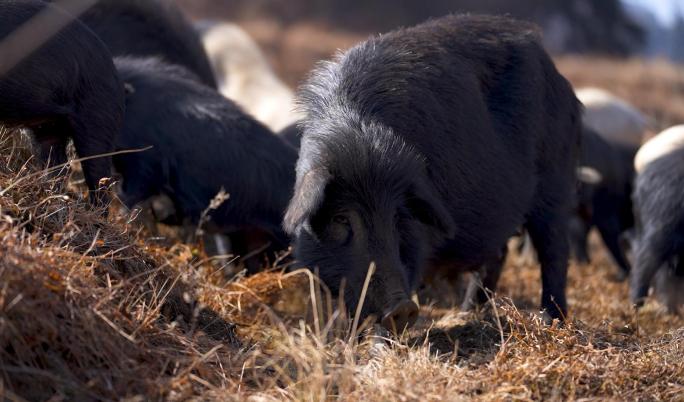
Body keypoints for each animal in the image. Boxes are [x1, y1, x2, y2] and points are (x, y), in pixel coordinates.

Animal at [284, 14, 584, 330]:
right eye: (341, 218)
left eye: (397, 217)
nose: (402, 307)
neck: (358, 134)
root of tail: (561, 80)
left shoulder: (417, 236)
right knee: (497, 252)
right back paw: (469, 313)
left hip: (556, 179)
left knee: (554, 252)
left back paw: (550, 321)